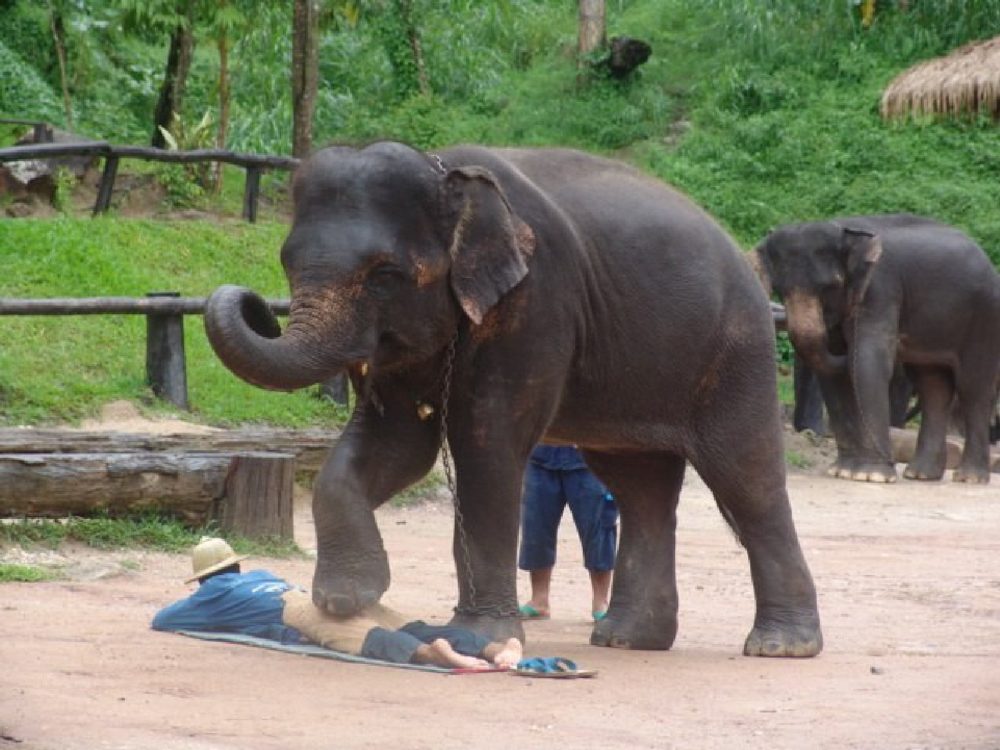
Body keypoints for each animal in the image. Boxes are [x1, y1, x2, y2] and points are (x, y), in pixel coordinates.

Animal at [204, 141, 822, 656]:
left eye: (384, 275)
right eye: (286, 262)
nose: (256, 305)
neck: (446, 174)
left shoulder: (536, 302)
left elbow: (486, 447)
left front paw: (477, 639)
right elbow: (395, 445)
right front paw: (347, 599)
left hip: (737, 349)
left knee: (745, 477)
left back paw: (779, 647)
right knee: (639, 487)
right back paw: (626, 640)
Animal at [752, 214, 1000, 484]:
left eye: (831, 286)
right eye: (779, 289)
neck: (845, 230)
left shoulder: (880, 288)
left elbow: (868, 361)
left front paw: (872, 475)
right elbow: (834, 374)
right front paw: (843, 471)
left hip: (984, 317)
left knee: (972, 387)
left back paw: (968, 478)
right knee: (932, 386)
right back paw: (920, 474)